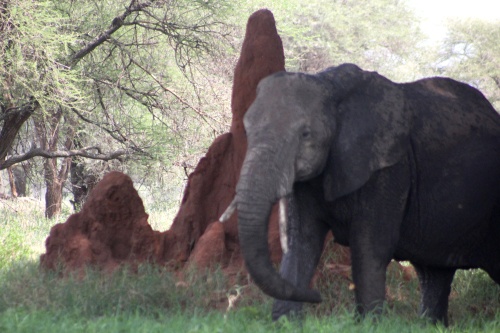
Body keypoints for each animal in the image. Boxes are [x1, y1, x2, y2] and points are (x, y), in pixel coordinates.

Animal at [221, 63, 500, 324]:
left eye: (305, 134)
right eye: (246, 131)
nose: (316, 297)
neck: (329, 84)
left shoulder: (390, 167)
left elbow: (370, 246)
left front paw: (368, 324)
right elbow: (301, 241)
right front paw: (285, 323)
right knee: (434, 275)